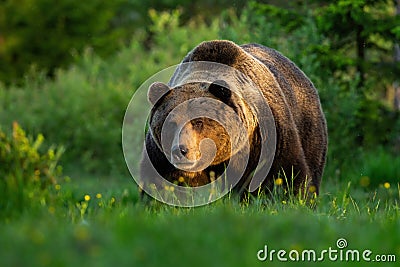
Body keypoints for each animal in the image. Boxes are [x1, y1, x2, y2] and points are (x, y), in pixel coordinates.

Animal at [139, 39, 326, 201]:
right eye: (171, 123)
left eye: (198, 122)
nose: (181, 150)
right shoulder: (160, 156)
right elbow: (158, 184)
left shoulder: (269, 137)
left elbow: (286, 174)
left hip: (309, 127)